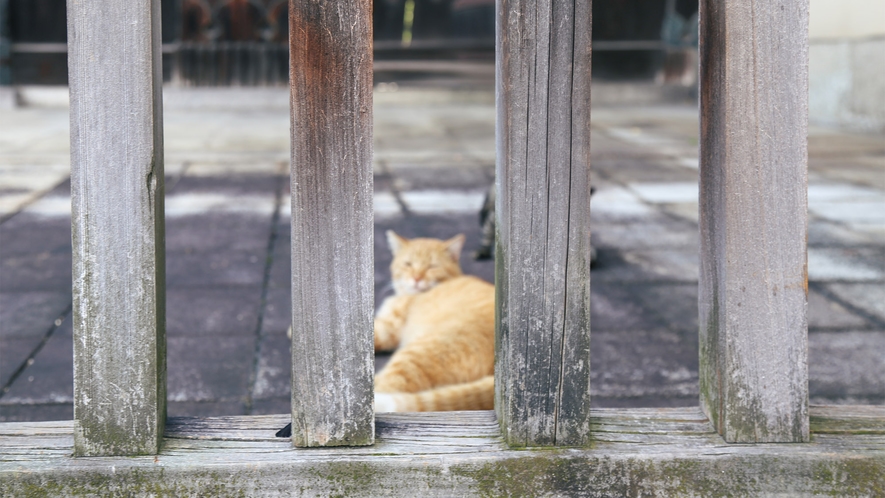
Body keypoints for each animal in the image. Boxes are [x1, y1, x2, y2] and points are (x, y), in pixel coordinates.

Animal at [372, 231, 498, 410]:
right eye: (408, 264)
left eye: (432, 266)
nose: (416, 278)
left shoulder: (387, 328)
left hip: (415, 355)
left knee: (389, 387)